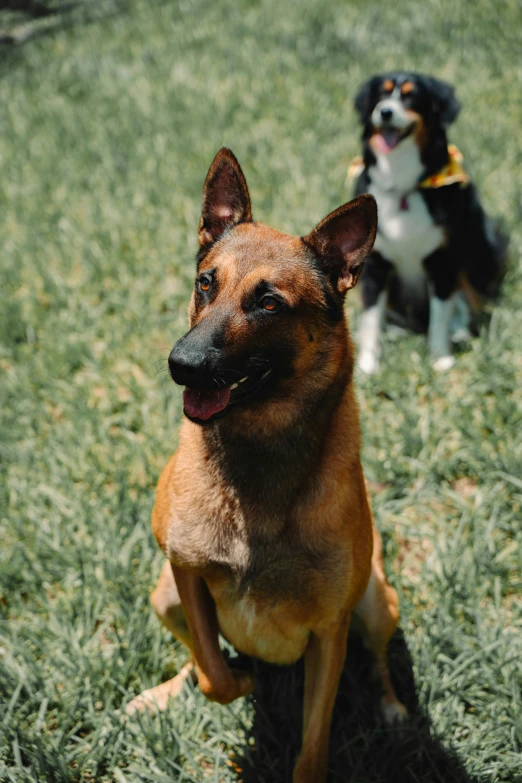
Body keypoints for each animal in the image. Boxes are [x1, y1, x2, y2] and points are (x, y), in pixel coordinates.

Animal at [128, 150, 404, 780]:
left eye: (269, 303)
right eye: (206, 282)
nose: (182, 364)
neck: (259, 455)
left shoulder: (330, 633)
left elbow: (313, 744)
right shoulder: (184, 572)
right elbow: (214, 673)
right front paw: (238, 679)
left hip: (378, 605)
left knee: (379, 662)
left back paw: (392, 707)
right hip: (164, 595)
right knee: (194, 658)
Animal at [350, 71, 504, 374]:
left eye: (411, 97)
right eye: (381, 95)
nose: (385, 112)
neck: (403, 186)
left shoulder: (442, 259)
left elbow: (440, 315)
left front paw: (440, 357)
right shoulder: (375, 263)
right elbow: (371, 317)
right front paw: (367, 364)